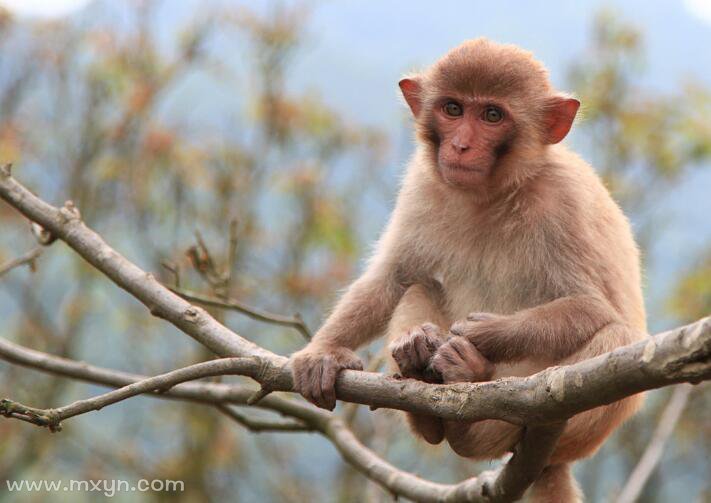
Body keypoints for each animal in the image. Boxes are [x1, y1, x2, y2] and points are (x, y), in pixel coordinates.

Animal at [290, 40, 644, 503]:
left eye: (492, 115)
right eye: (453, 109)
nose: (459, 146)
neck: (491, 194)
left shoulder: (564, 200)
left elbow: (593, 307)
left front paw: (481, 334)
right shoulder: (423, 183)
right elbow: (392, 278)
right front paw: (324, 352)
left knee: (617, 337)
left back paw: (472, 395)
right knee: (418, 286)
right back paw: (421, 377)